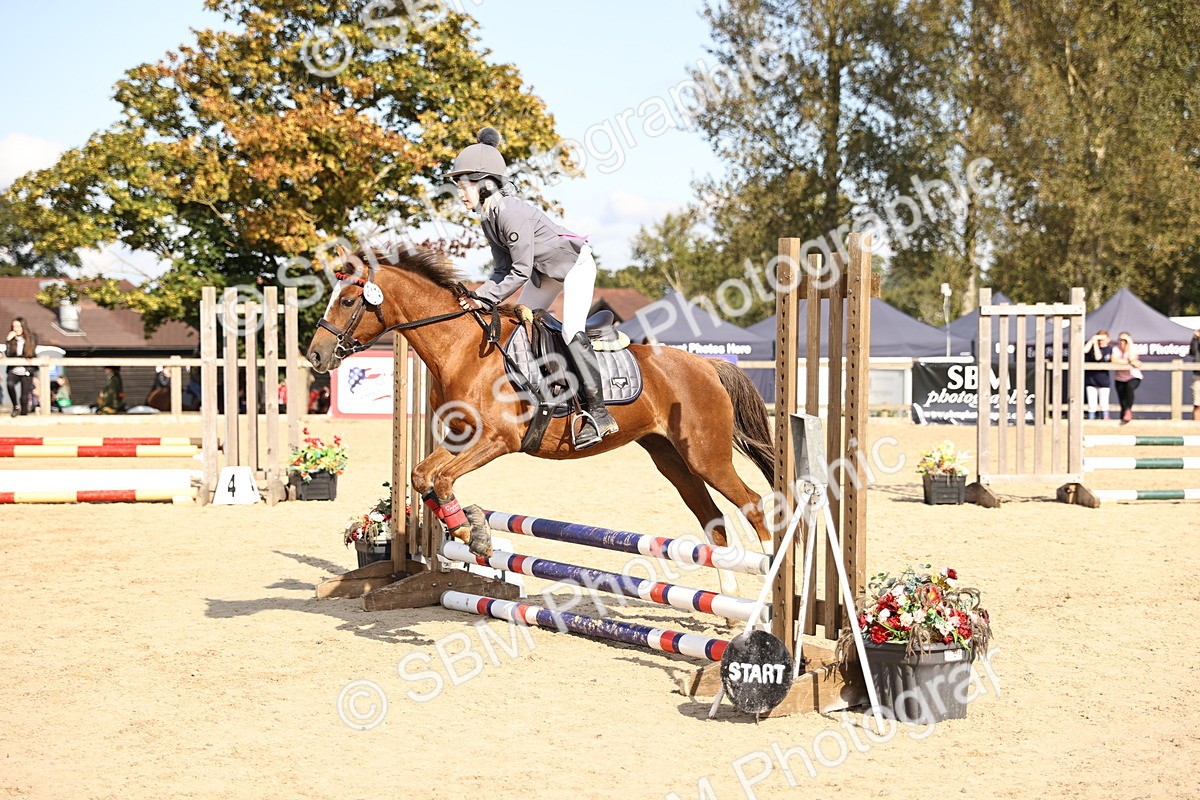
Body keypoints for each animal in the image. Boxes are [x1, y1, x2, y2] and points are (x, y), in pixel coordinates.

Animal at [305, 246, 776, 580]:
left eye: (348, 300)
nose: (315, 355)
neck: (462, 350)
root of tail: (707, 365)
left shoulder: (497, 441)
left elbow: (440, 480)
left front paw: (472, 534)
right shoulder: (459, 438)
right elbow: (424, 477)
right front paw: (470, 531)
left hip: (705, 455)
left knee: (753, 505)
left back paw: (769, 577)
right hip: (671, 459)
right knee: (712, 519)